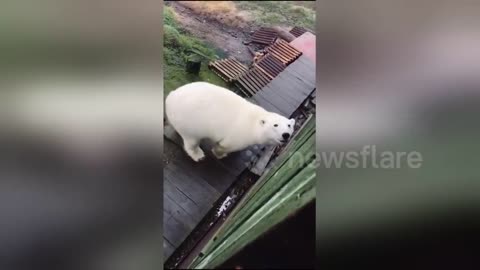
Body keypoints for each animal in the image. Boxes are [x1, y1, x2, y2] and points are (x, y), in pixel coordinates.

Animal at [166, 81, 296, 161]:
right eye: (275, 125)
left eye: (289, 125)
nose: (285, 135)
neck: (254, 121)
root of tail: (170, 96)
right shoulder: (239, 135)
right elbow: (225, 146)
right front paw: (221, 154)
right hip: (189, 121)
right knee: (191, 140)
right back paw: (198, 155)